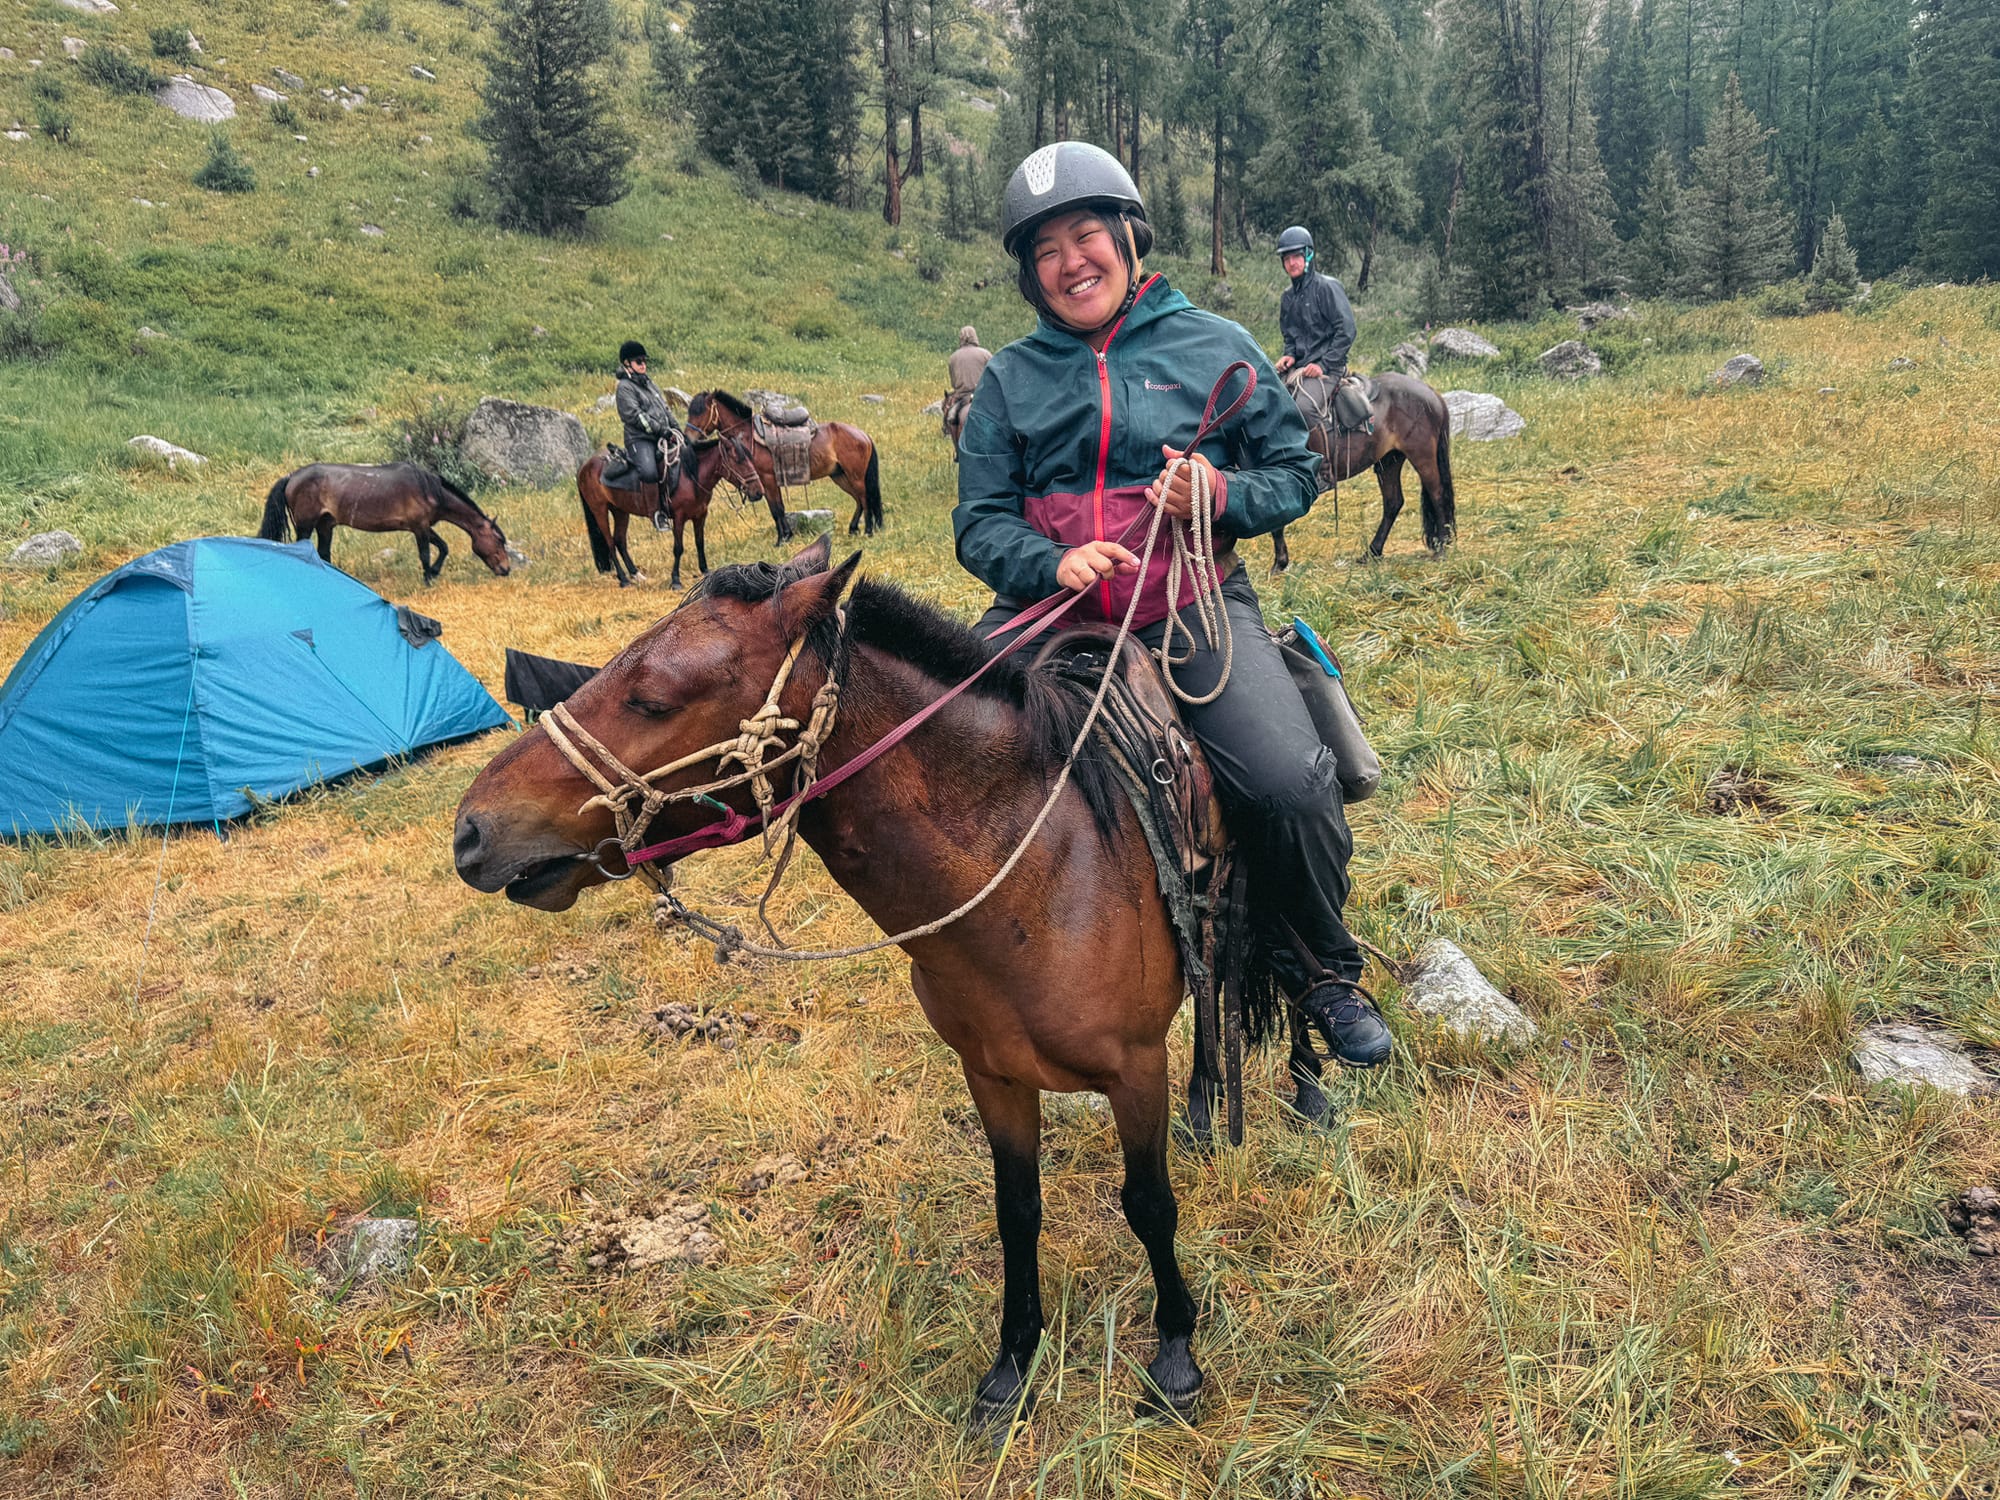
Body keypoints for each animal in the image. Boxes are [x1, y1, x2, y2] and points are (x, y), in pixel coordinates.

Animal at [254, 462, 516, 584]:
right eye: (499, 540)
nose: (506, 569)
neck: (429, 490)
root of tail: (291, 477)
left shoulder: (424, 526)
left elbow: (443, 547)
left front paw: (433, 573)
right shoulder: (419, 528)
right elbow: (426, 554)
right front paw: (428, 577)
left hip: (325, 525)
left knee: (323, 554)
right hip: (306, 525)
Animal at [450, 536, 1296, 1432]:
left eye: (652, 698)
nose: (471, 831)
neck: (1041, 868)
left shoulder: (1135, 1069)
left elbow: (1148, 1205)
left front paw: (1175, 1353)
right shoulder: (991, 1073)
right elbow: (1017, 1211)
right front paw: (1013, 1362)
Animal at [584, 434, 768, 588]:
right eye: (738, 460)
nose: (758, 492)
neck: (690, 476)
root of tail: (585, 467)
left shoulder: (700, 515)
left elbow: (700, 542)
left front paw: (705, 571)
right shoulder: (679, 518)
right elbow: (678, 548)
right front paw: (675, 580)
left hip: (620, 511)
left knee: (620, 540)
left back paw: (636, 575)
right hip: (600, 510)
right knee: (610, 542)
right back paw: (623, 579)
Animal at [684, 394, 880, 540]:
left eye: (700, 411)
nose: (688, 438)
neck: (749, 436)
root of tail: (863, 435)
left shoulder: (768, 479)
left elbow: (778, 509)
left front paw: (782, 538)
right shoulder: (762, 482)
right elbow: (776, 508)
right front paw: (786, 536)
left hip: (855, 476)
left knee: (865, 498)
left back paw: (868, 531)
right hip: (840, 476)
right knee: (858, 500)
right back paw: (853, 529)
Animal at [1272, 374, 1464, 576]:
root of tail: (1432, 393)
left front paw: (1279, 563)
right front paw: (1280, 563)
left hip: (1421, 456)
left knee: (1437, 495)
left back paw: (1441, 549)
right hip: (1389, 461)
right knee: (1393, 502)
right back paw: (1372, 552)